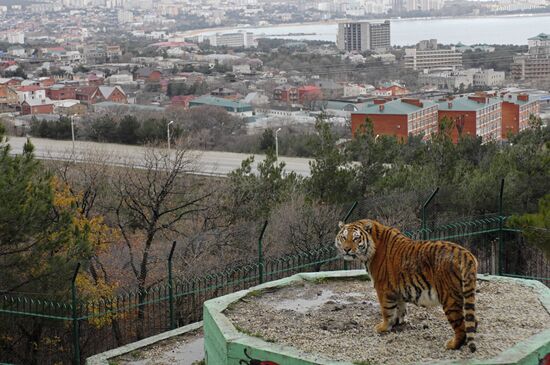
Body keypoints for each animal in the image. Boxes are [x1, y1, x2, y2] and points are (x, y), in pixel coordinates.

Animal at [336, 218, 478, 352]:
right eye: (344, 237)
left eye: (356, 238)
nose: (346, 249)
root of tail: (466, 254)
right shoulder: (397, 288)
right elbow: (400, 307)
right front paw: (398, 322)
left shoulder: (383, 288)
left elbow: (386, 310)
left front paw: (383, 327)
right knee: (472, 320)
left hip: (449, 298)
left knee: (460, 326)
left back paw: (452, 345)